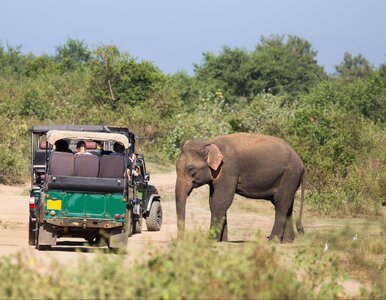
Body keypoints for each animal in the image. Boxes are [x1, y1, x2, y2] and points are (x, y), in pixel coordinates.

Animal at [175, 132, 304, 243]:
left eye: (191, 169)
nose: (181, 240)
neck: (207, 143)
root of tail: (302, 164)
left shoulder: (228, 170)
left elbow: (221, 201)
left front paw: (211, 240)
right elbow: (213, 202)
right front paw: (223, 241)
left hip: (290, 175)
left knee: (280, 203)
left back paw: (272, 241)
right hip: (290, 179)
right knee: (288, 205)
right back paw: (287, 241)